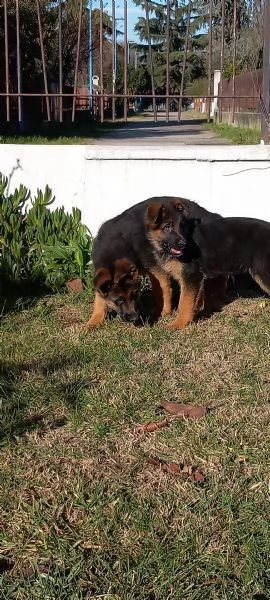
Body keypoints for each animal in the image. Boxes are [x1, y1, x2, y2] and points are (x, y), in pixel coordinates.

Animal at [87, 197, 225, 328]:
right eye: (118, 300)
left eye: (134, 295)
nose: (135, 319)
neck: (115, 246)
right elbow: (99, 298)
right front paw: (93, 322)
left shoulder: (154, 267)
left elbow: (162, 289)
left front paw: (163, 311)